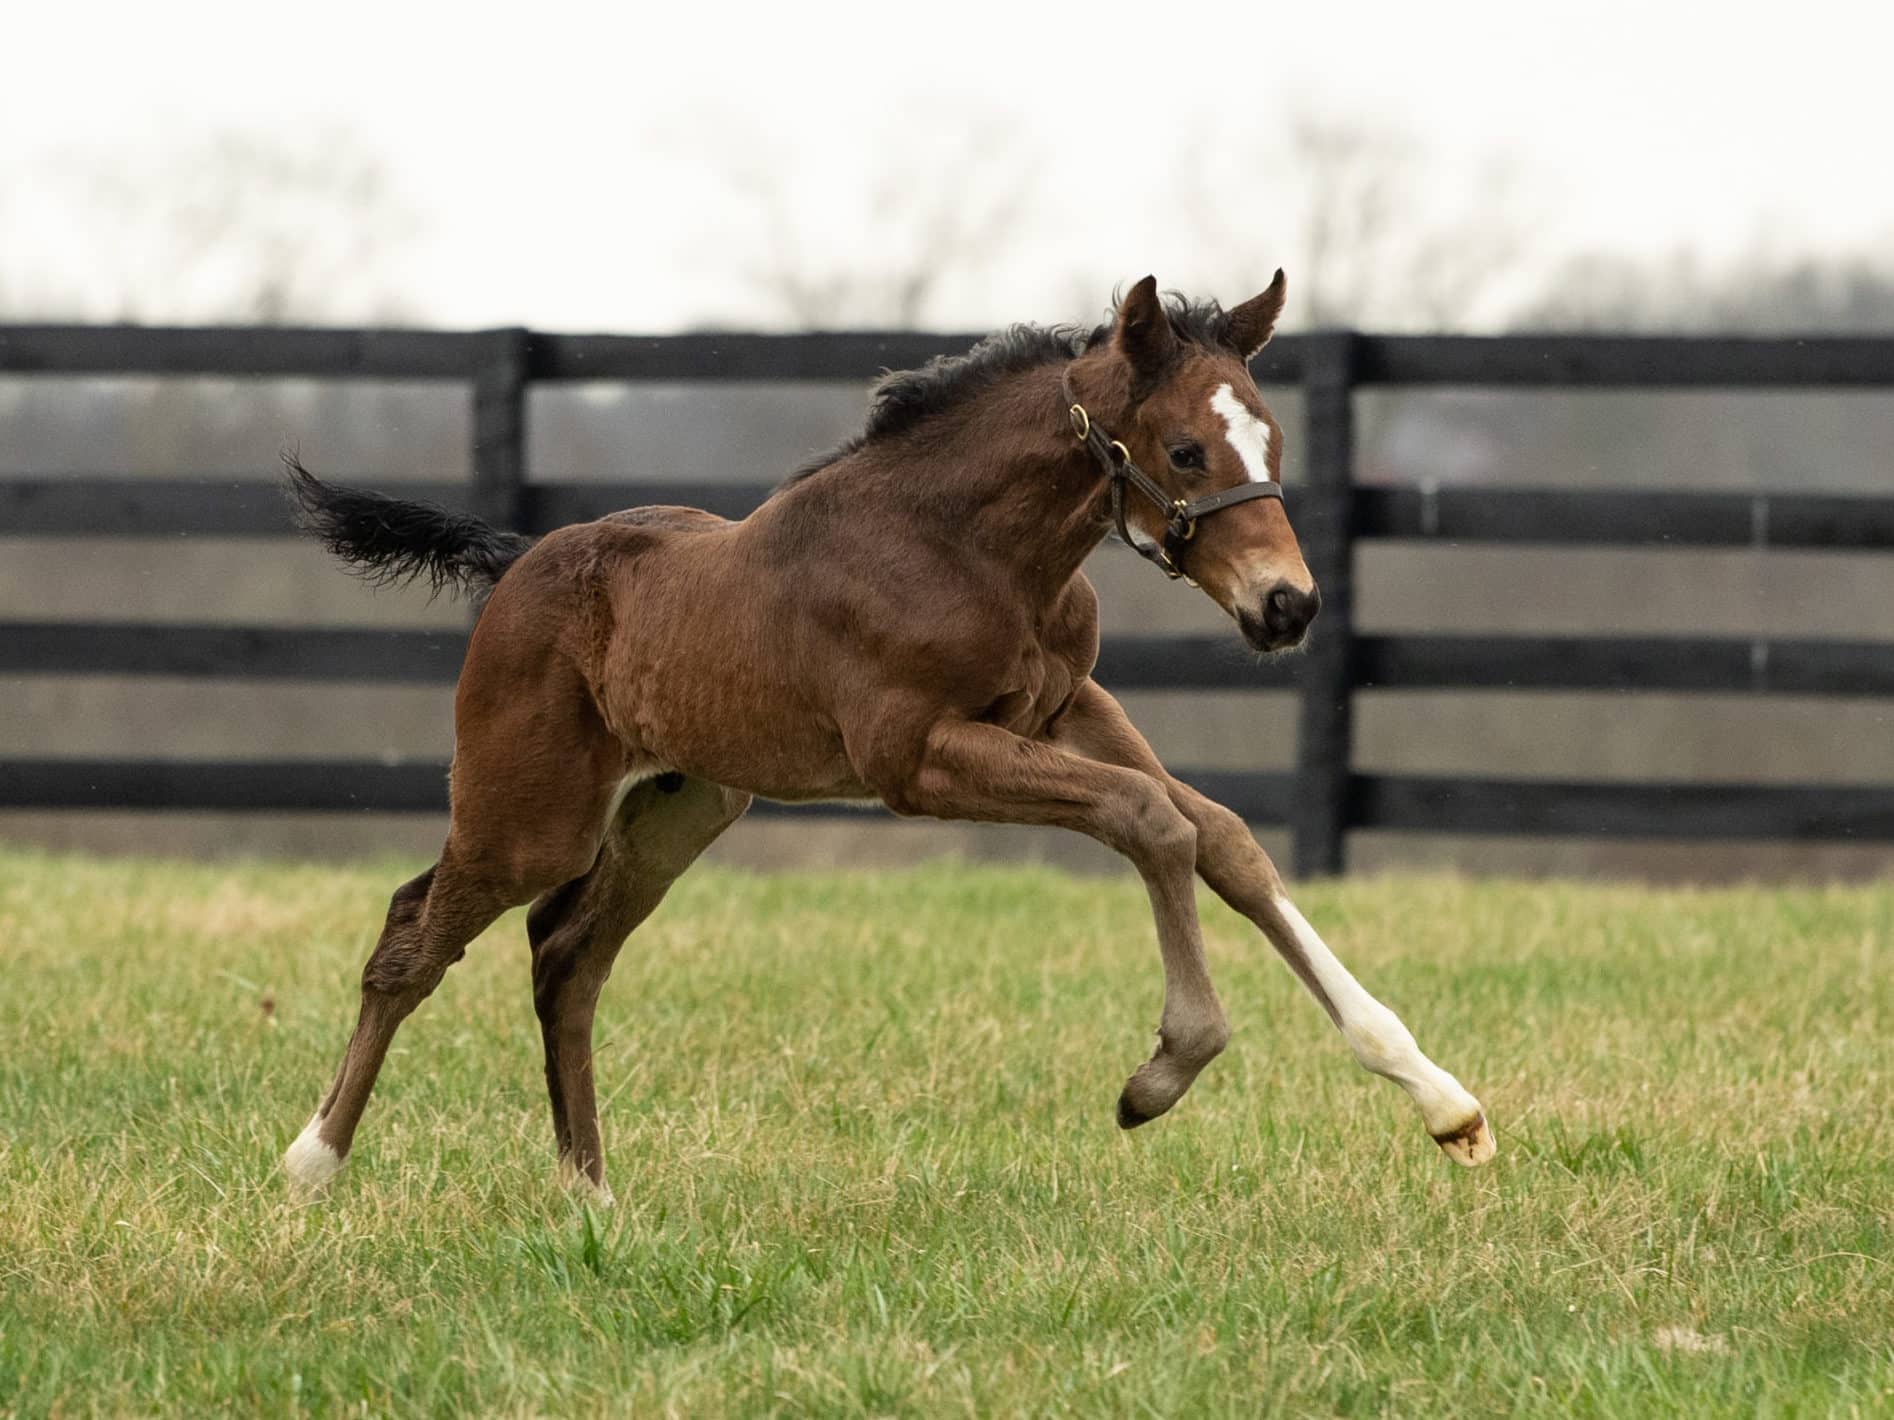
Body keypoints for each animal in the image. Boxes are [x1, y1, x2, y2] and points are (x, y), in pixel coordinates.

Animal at [280, 274, 1492, 1204]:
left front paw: (1442, 1099)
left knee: (567, 955)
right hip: (532, 813)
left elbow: (1225, 838)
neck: (967, 548)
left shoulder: (1070, 707)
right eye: (1187, 449)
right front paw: (1164, 1070)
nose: (1287, 606)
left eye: (1269, 438)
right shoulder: (913, 756)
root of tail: (517, 562)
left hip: (678, 808)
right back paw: (311, 1162)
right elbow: (1152, 821)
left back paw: (590, 1192)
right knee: (413, 937)